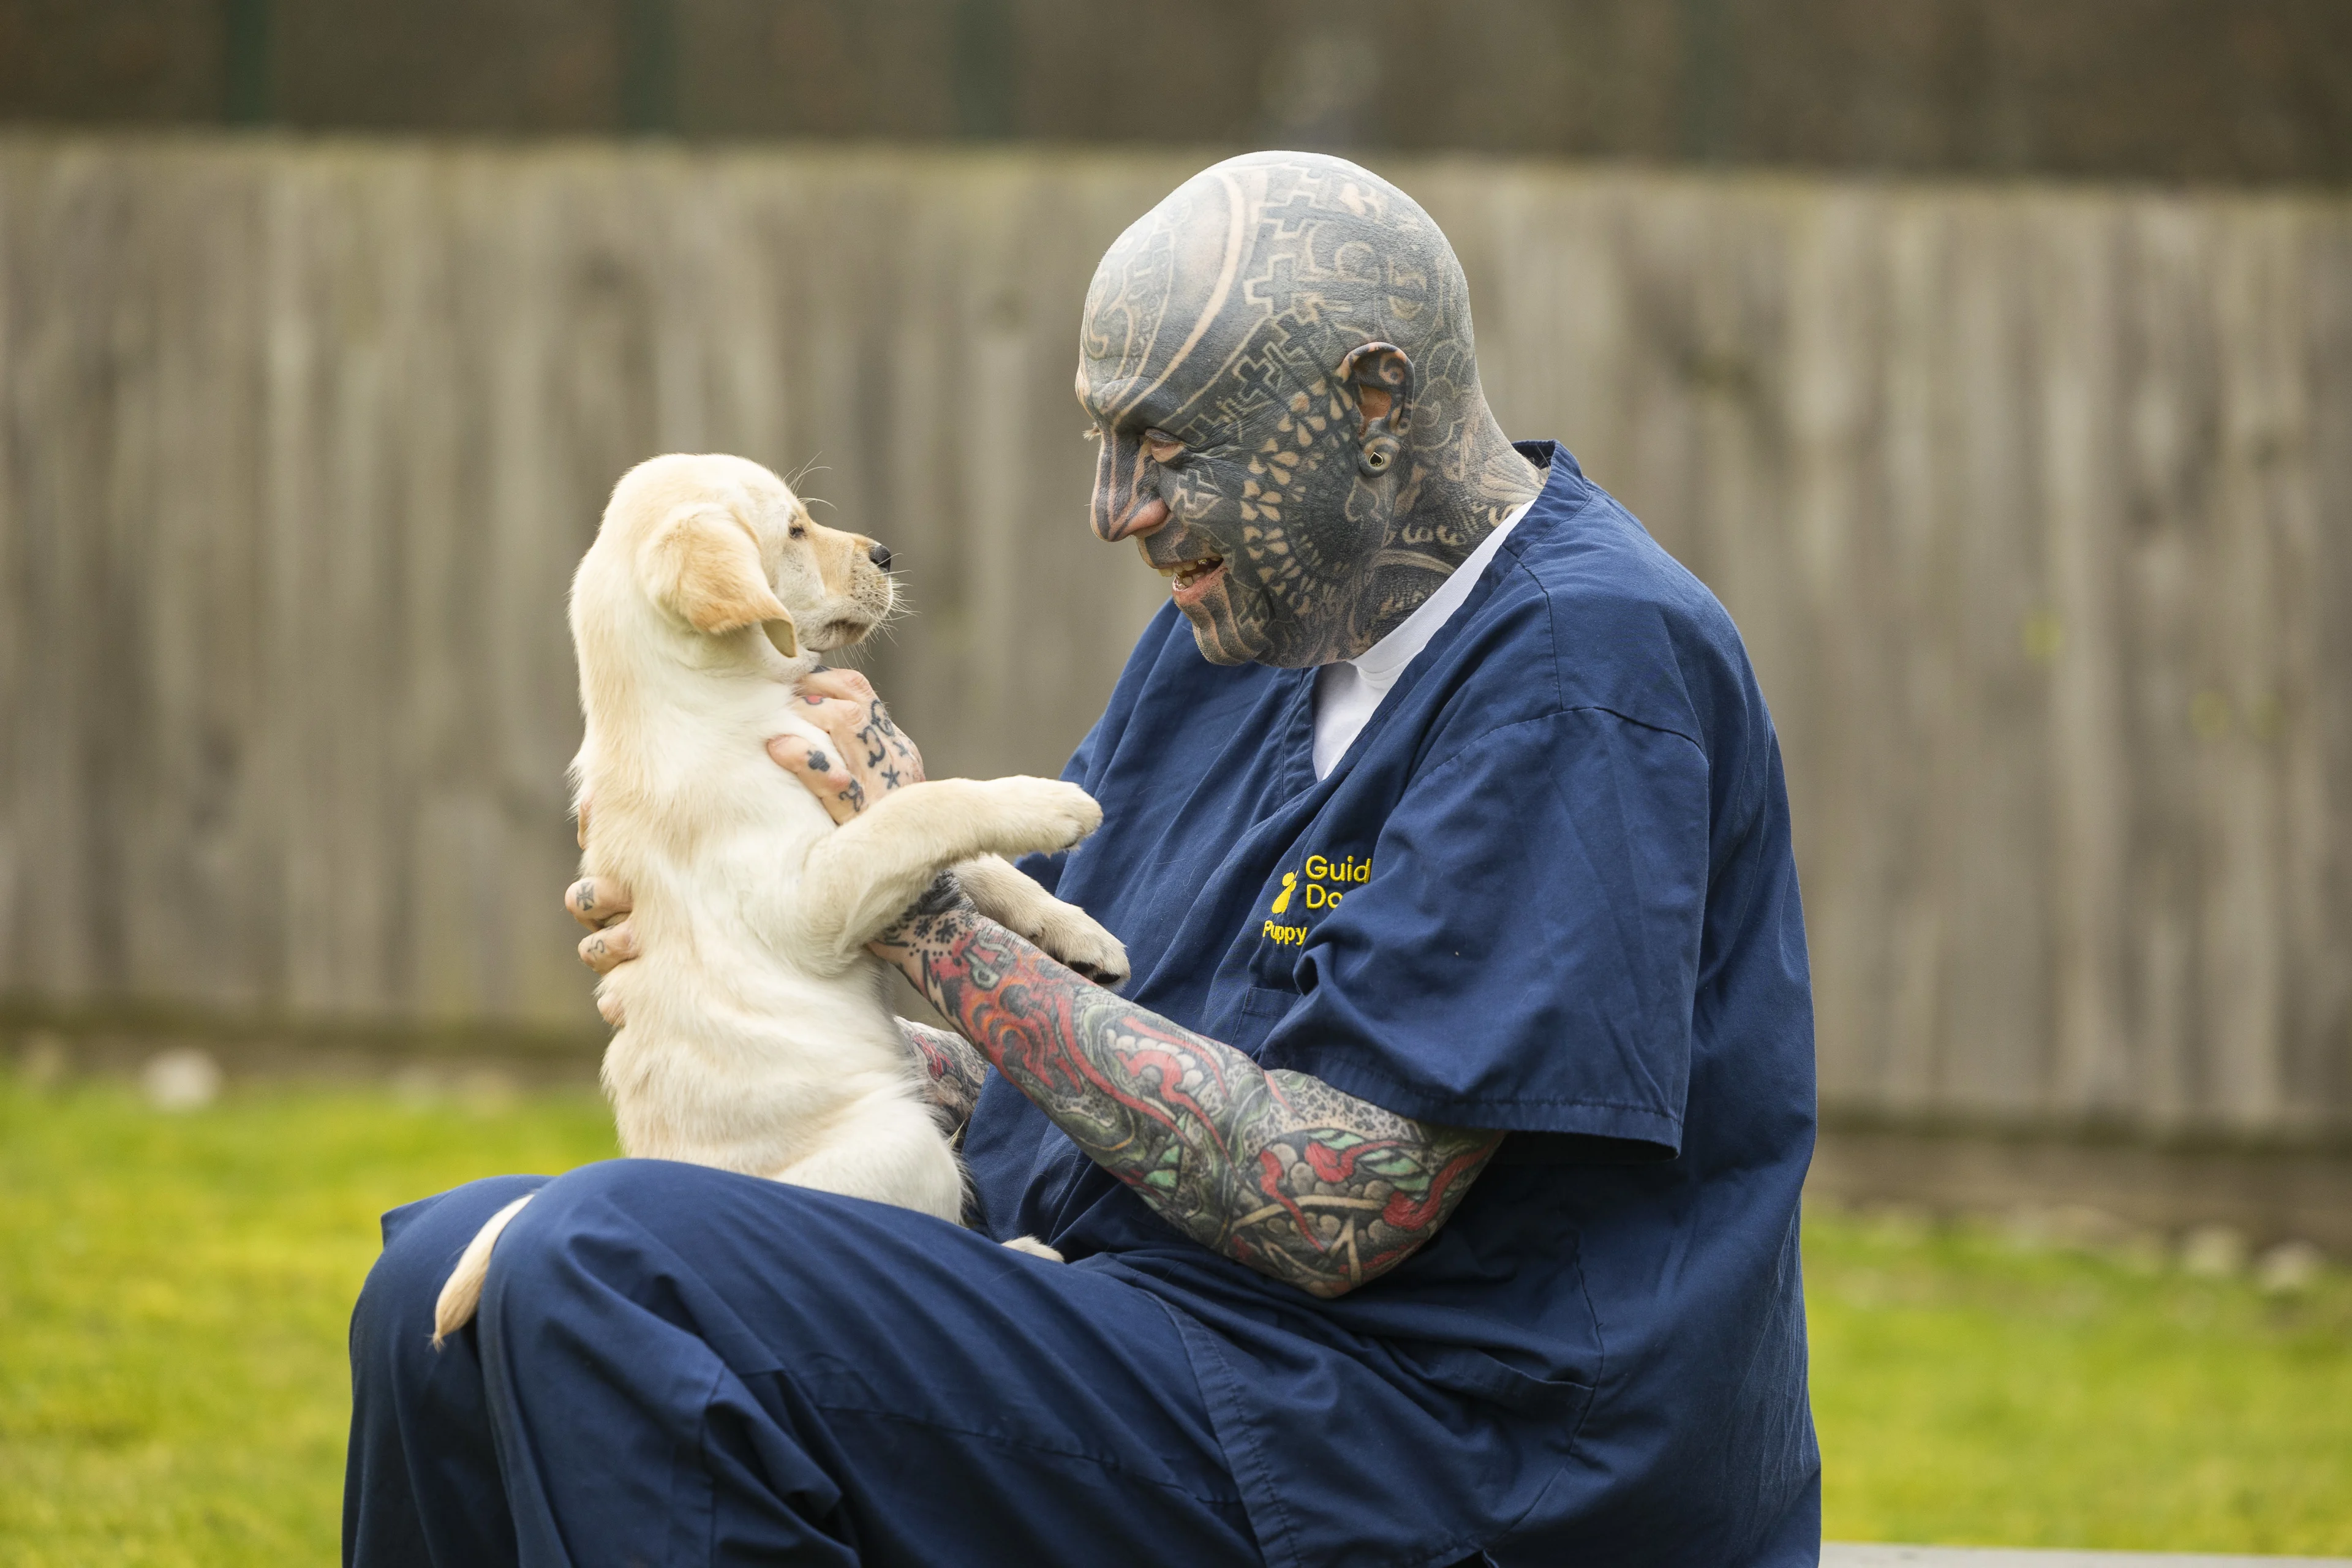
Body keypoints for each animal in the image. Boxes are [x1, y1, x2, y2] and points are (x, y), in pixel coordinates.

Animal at [437, 453, 1124, 1354]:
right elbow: (926, 809)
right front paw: (1053, 804)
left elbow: (973, 862)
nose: (886, 554)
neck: (710, 705)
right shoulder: (811, 896)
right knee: (930, 1235)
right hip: (904, 1141)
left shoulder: (851, 811)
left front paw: (1080, 935)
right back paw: (1028, 1254)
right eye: (795, 530)